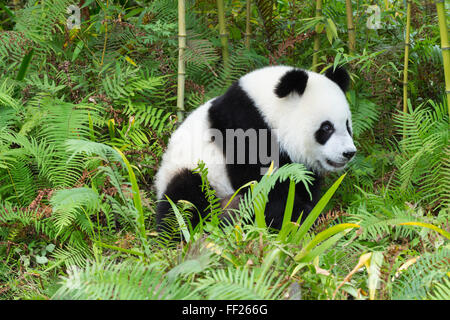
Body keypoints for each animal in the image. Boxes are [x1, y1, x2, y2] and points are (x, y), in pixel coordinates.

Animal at [155, 65, 356, 235]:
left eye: (347, 125)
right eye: (327, 128)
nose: (349, 153)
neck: (267, 109)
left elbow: (303, 185)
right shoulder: (245, 128)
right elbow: (264, 187)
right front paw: (304, 220)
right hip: (193, 172)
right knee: (185, 198)